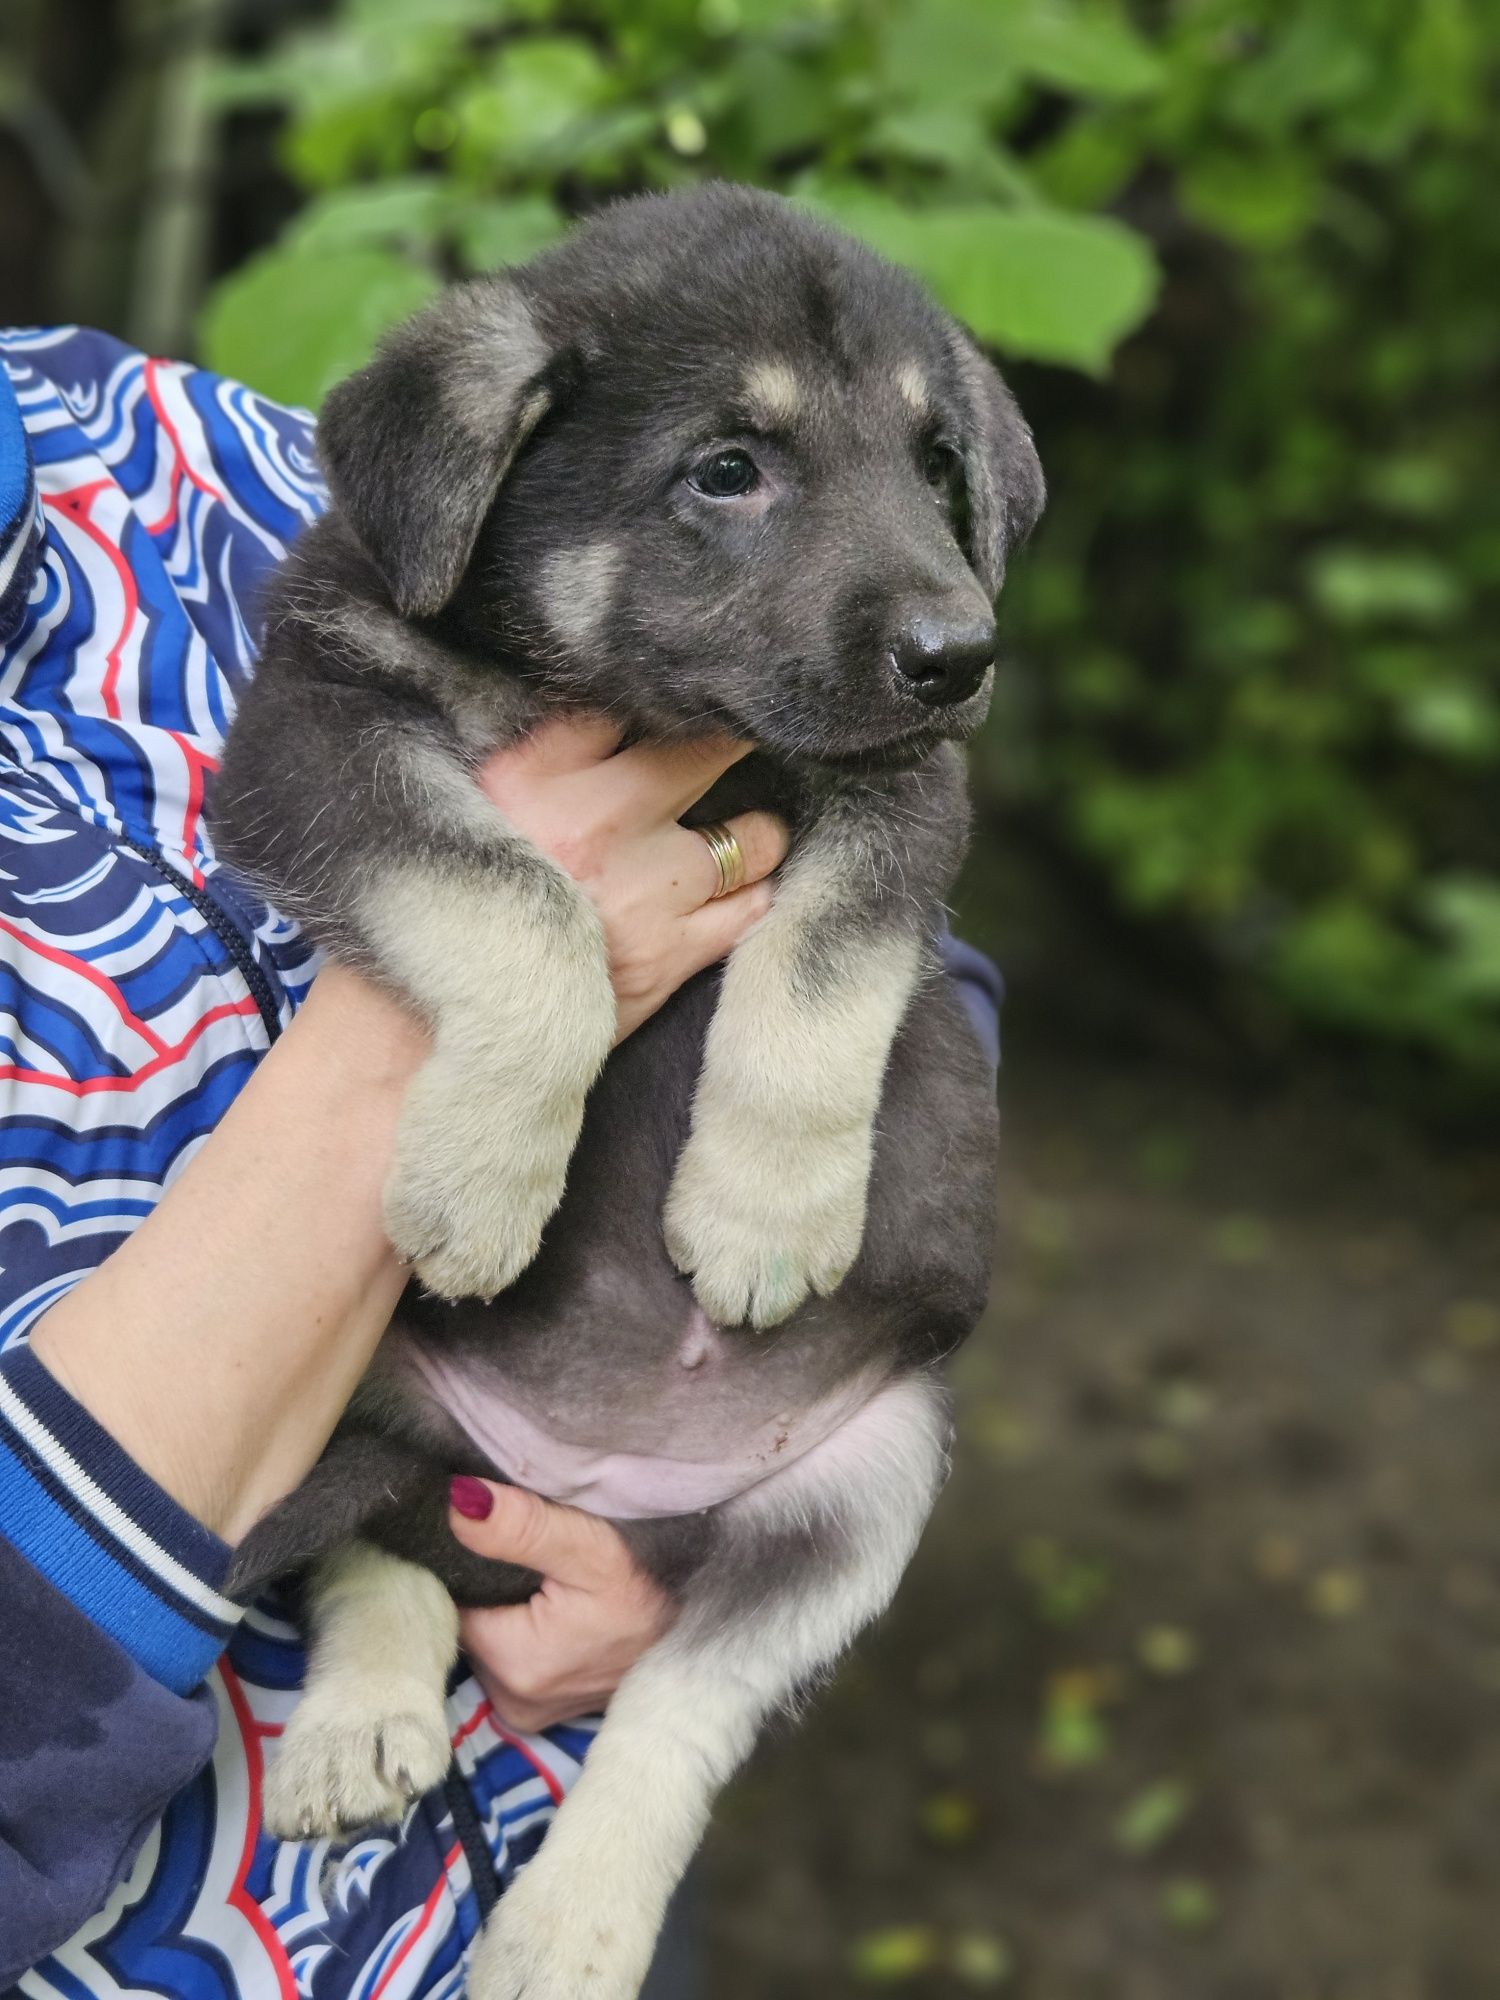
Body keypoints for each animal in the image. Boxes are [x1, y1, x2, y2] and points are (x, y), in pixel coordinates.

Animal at [217, 188, 1048, 2000]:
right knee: (385, 1551)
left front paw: (763, 1213)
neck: (621, 702)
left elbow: (822, 967)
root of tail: (584, 1479)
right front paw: (485, 1181)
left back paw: (573, 1924)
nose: (961, 655)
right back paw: (355, 1726)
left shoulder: (907, 794)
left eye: (931, 459)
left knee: (678, 1705)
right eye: (728, 469)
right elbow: (514, 895)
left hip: (862, 1483)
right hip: (358, 1389)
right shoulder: (319, 735)